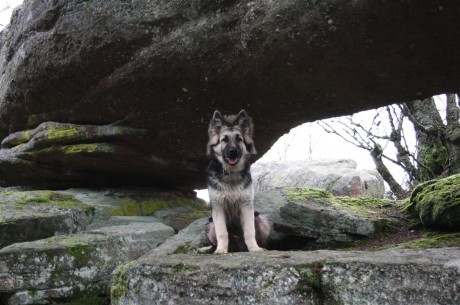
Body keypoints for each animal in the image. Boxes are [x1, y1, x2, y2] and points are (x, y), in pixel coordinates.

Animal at [205, 108, 270, 252]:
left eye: (239, 139)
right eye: (224, 140)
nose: (233, 151)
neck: (231, 174)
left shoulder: (246, 206)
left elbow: (250, 231)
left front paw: (254, 248)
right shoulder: (218, 206)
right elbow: (222, 232)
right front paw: (221, 250)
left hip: (260, 219)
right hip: (210, 225)